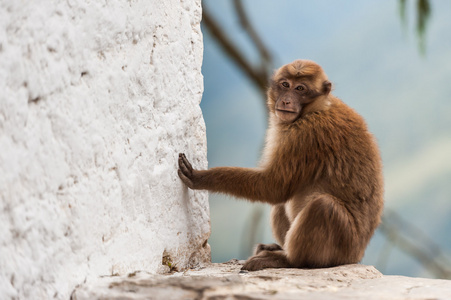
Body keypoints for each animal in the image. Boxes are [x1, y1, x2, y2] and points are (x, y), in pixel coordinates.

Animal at [178, 59, 384, 272]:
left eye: (300, 88)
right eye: (285, 85)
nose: (286, 100)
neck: (316, 108)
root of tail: (356, 255)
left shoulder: (306, 134)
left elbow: (274, 187)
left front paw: (201, 178)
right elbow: (277, 190)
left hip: (344, 246)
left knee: (322, 206)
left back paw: (288, 260)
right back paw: (277, 248)